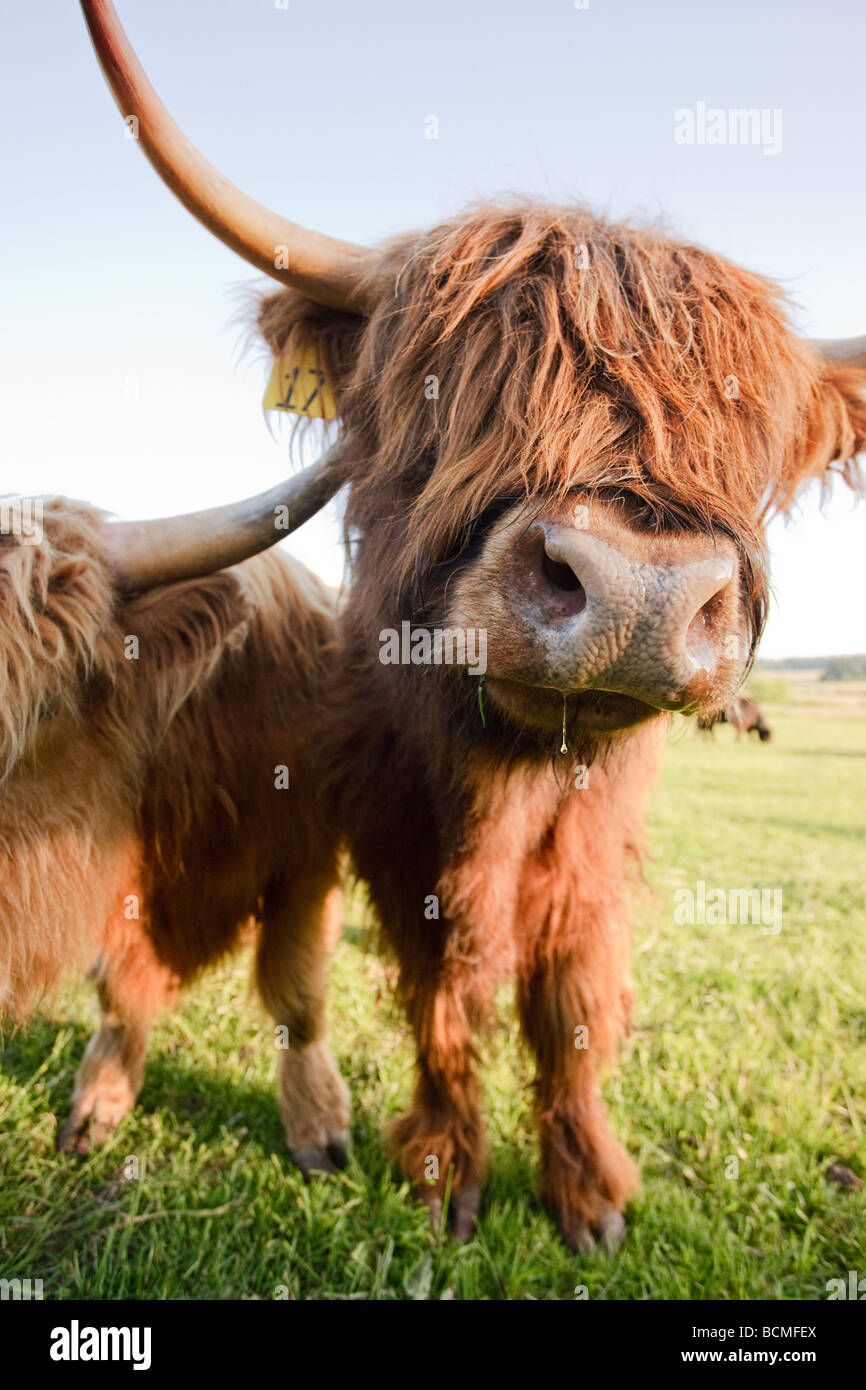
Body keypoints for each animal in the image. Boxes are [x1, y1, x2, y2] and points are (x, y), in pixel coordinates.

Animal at [67, 0, 866, 1256]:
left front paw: (586, 1188)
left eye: (745, 432)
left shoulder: (597, 836)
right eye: (452, 390)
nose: (637, 592)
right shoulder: (396, 830)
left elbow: (569, 995)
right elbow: (446, 985)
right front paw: (447, 1166)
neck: (512, 777)